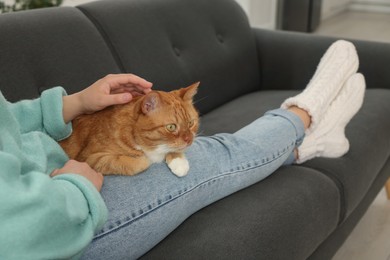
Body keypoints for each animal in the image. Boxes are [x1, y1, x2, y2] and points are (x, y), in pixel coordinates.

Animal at [60, 82, 201, 178]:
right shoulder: (90, 159)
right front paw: (147, 159)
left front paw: (179, 161)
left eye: (190, 123)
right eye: (171, 127)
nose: (189, 140)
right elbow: (130, 162)